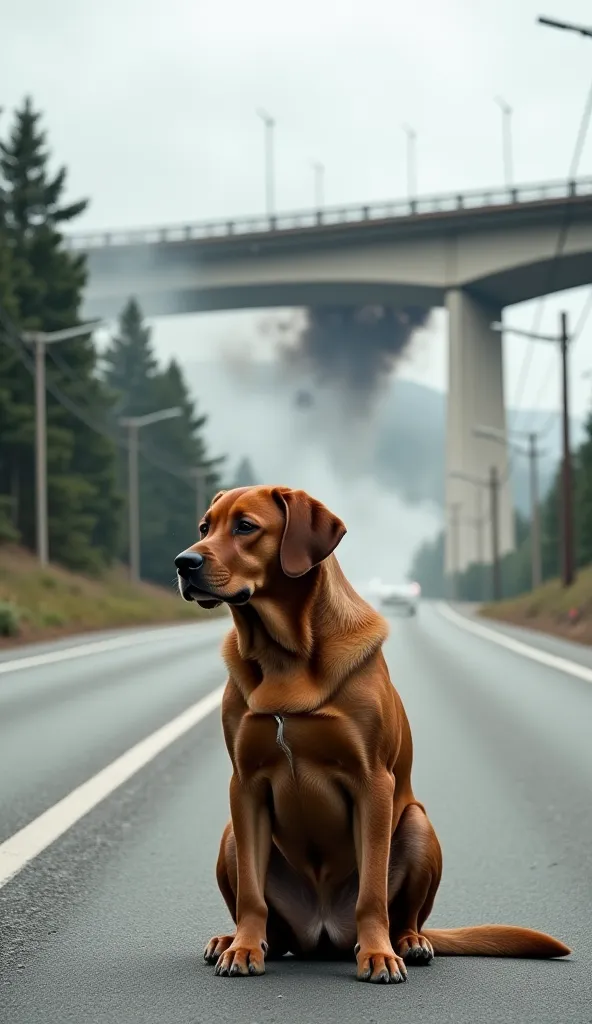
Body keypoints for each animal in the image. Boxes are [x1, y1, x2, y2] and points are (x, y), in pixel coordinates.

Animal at [174, 483, 565, 978]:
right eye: (205, 526)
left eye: (245, 526)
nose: (183, 562)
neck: (285, 656)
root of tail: (321, 934)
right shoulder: (244, 784)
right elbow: (251, 893)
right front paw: (243, 948)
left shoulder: (373, 782)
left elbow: (372, 891)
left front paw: (379, 954)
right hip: (230, 833)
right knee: (268, 921)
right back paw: (234, 940)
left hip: (417, 825)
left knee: (407, 915)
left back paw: (409, 943)